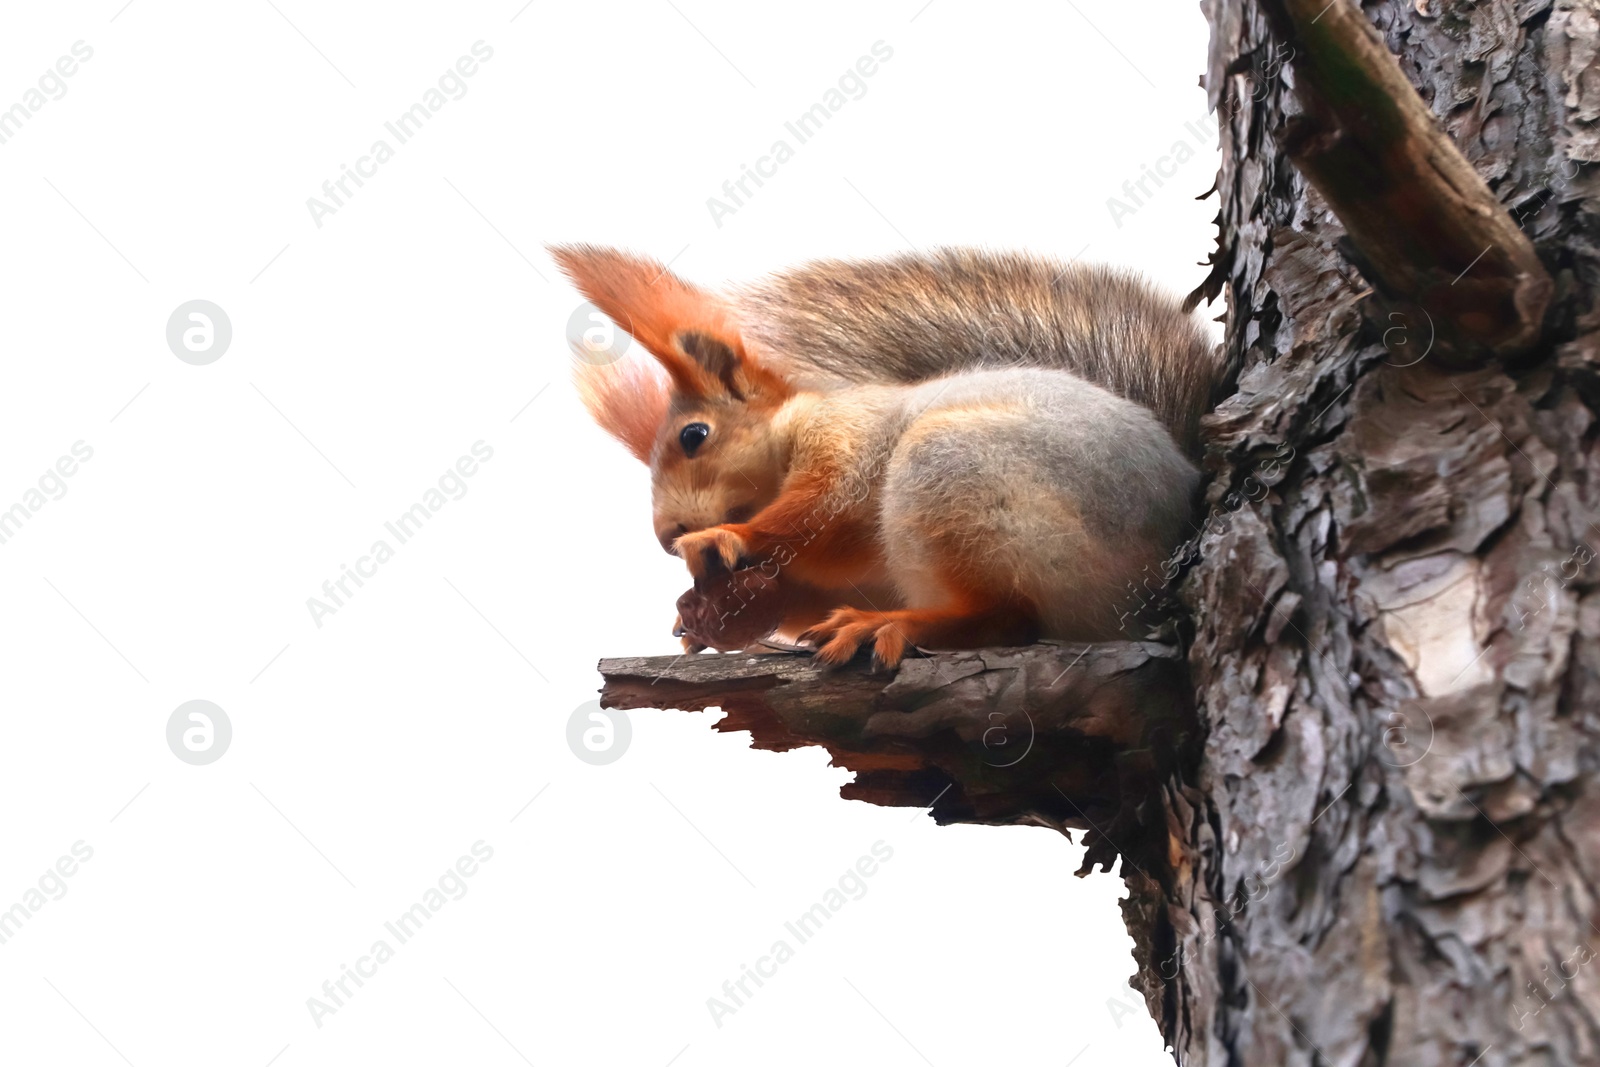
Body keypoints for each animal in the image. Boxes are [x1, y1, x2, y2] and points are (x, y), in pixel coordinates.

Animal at [553, 247, 1222, 668]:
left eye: (694, 436)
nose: (667, 535)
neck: (792, 425)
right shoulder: (862, 577)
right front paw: (714, 616)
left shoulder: (849, 438)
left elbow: (821, 512)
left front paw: (728, 537)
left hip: (952, 468)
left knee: (1007, 618)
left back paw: (890, 627)